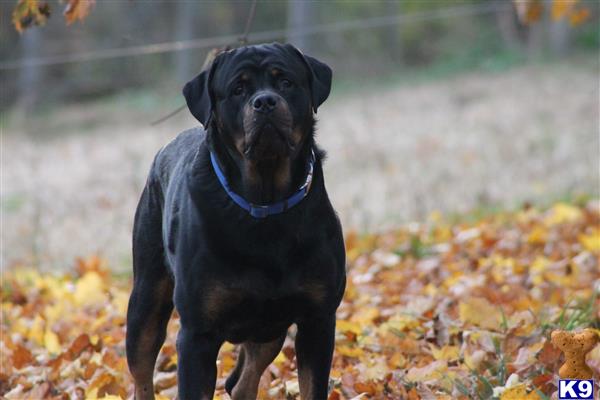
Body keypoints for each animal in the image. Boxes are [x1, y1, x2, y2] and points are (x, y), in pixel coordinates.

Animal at [126, 43, 346, 400]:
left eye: (285, 82)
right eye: (238, 89)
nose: (265, 101)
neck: (265, 203)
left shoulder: (318, 319)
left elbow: (312, 386)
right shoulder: (197, 334)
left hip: (269, 325)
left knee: (241, 382)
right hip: (145, 297)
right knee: (142, 370)